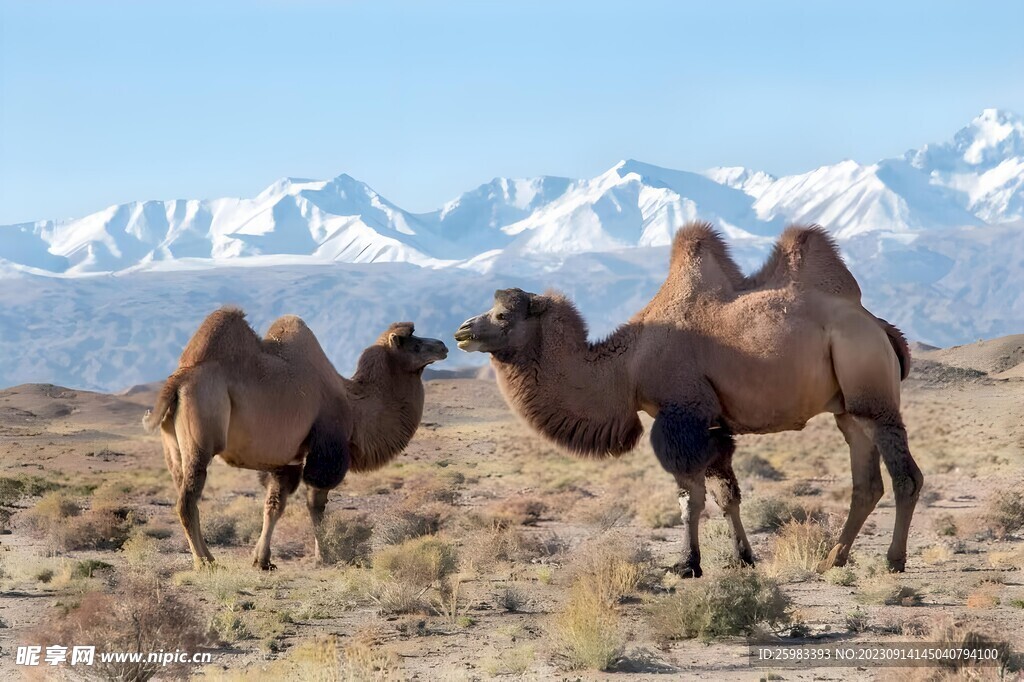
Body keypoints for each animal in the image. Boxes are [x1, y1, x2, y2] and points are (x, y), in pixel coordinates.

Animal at [144, 307, 448, 569]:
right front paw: (324, 556)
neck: (354, 404)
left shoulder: (286, 460)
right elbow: (316, 505)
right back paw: (205, 562)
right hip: (203, 438)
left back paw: (208, 556)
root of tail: (178, 380)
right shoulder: (327, 448)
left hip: (173, 447)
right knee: (187, 501)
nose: (443, 345)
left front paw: (262, 560)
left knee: (183, 488)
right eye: (414, 343)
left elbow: (274, 506)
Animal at [456, 222, 921, 573]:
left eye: (502, 315)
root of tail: (881, 327)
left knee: (905, 476)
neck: (627, 365)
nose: (462, 331)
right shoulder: (712, 422)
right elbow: (726, 495)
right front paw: (743, 558)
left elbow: (689, 500)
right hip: (848, 410)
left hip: (872, 390)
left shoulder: (681, 415)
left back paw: (893, 561)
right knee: (866, 482)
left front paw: (687, 564)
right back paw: (833, 559)